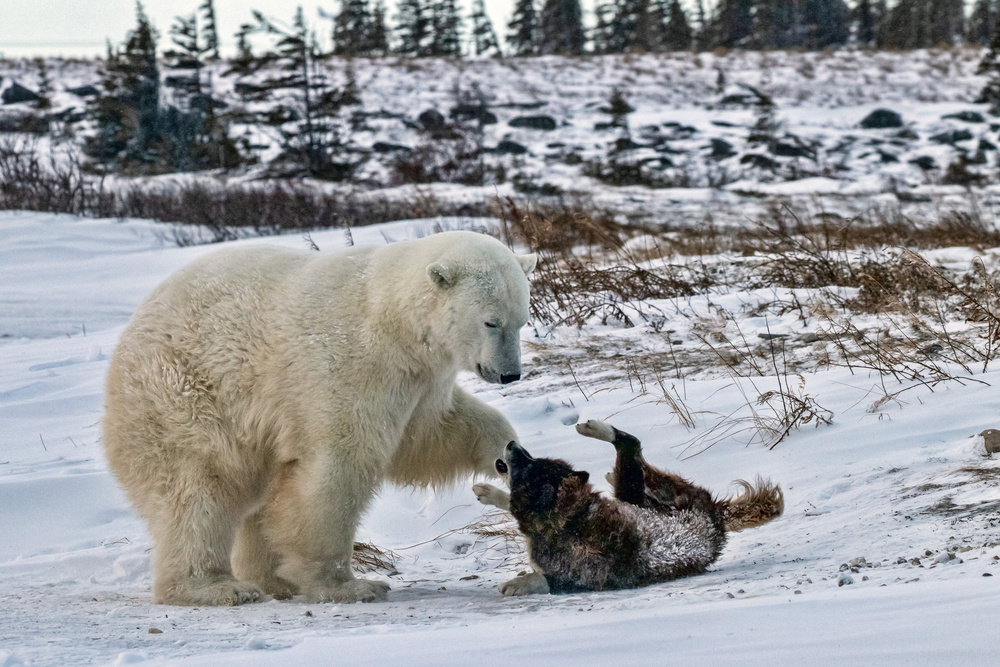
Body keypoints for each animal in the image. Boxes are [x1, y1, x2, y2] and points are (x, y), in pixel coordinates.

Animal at [102, 232, 536, 608]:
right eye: (491, 321)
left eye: (521, 320)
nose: (510, 374)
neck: (391, 316)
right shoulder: (353, 365)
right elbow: (338, 464)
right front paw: (349, 585)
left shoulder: (420, 379)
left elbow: (433, 434)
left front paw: (506, 455)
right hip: (183, 393)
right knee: (199, 488)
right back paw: (218, 587)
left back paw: (270, 580)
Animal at [472, 420, 784, 596]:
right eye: (533, 459)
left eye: (529, 466)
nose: (512, 443)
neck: (567, 519)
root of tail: (716, 514)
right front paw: (492, 493)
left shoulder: (579, 579)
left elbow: (544, 580)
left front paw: (519, 584)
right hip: (633, 494)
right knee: (632, 456)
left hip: (641, 488)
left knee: (631, 443)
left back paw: (600, 432)